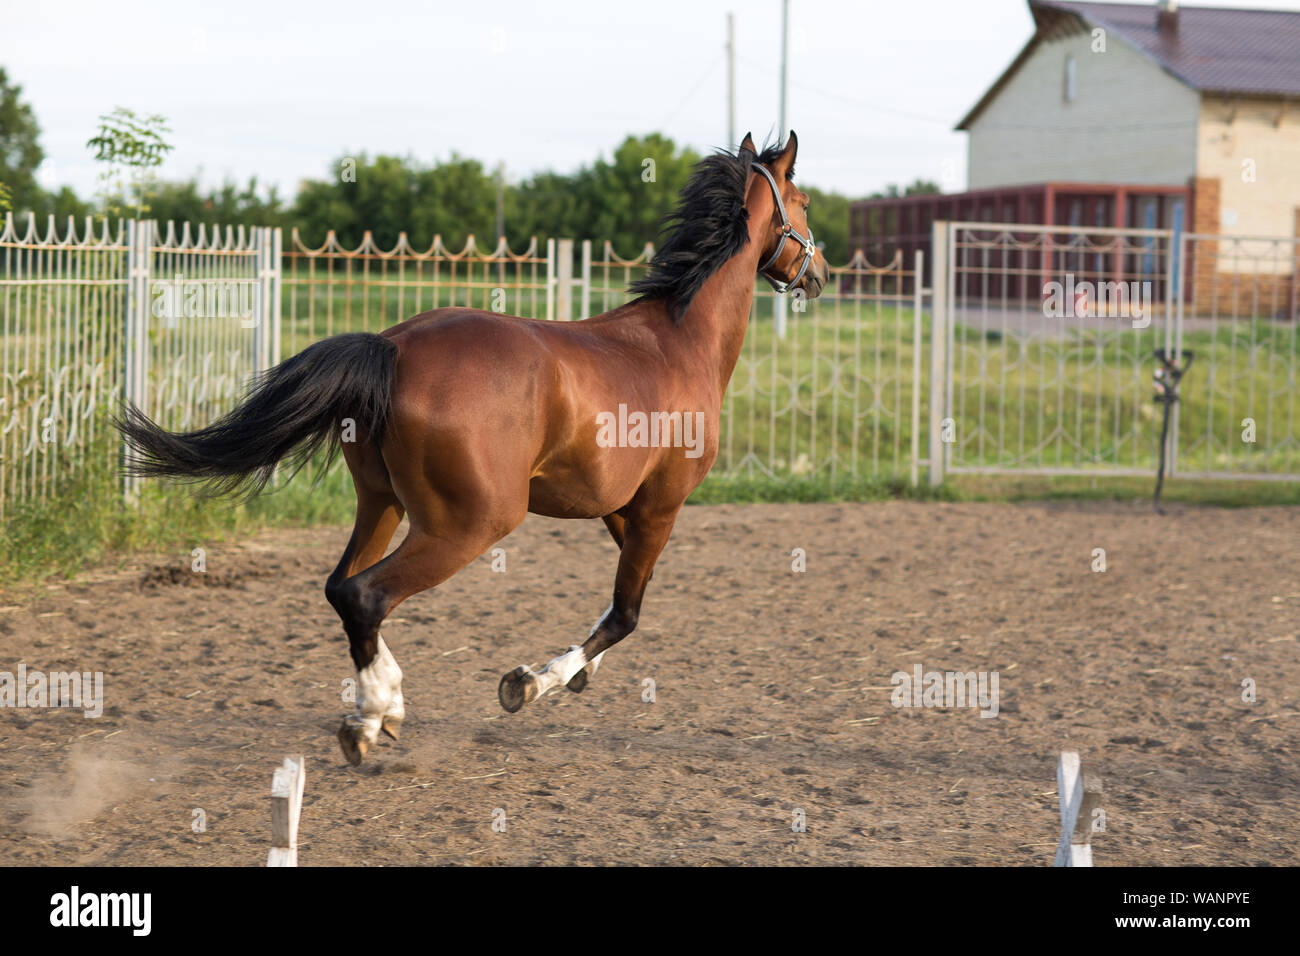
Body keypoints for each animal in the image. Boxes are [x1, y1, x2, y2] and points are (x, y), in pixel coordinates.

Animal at [116, 130, 826, 764]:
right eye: (805, 201)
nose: (819, 271)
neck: (676, 343)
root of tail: (394, 347)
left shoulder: (620, 508)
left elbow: (622, 603)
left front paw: (574, 674)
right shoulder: (660, 506)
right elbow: (627, 612)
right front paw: (528, 683)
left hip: (381, 504)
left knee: (340, 587)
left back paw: (382, 710)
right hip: (472, 523)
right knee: (365, 595)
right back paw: (373, 718)